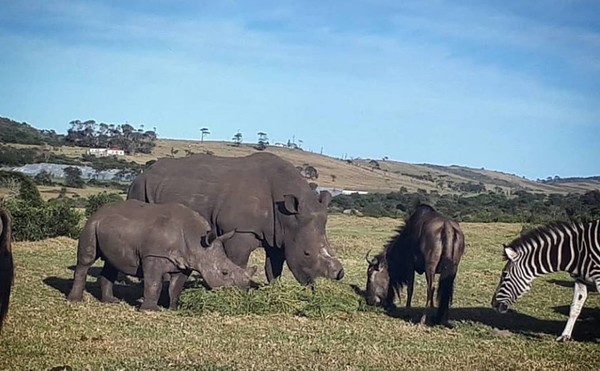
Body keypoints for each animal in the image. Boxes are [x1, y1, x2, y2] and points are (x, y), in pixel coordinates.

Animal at [68, 201, 255, 310]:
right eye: (224, 272)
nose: (243, 290)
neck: (197, 242)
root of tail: (100, 210)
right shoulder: (153, 256)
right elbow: (154, 284)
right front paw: (151, 310)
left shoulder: (185, 263)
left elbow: (176, 287)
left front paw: (173, 308)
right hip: (91, 223)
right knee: (87, 259)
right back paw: (75, 301)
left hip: (110, 227)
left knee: (112, 263)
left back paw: (111, 301)